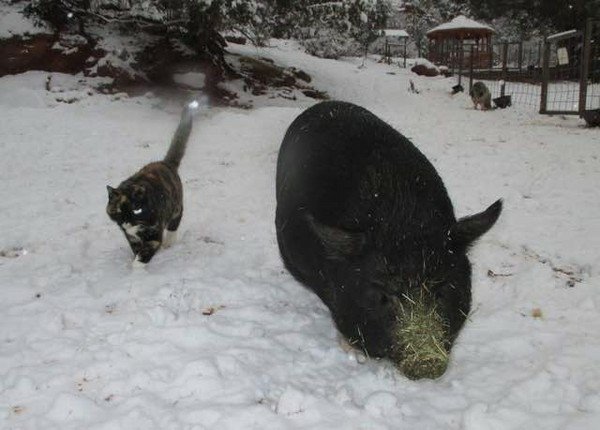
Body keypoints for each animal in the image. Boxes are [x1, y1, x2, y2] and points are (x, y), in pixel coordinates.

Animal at [105, 104, 195, 266]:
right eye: (119, 211)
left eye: (136, 210)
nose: (127, 223)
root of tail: (165, 163)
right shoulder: (132, 238)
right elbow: (136, 251)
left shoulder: (154, 236)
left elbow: (142, 256)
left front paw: (136, 270)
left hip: (176, 208)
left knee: (174, 224)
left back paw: (169, 242)